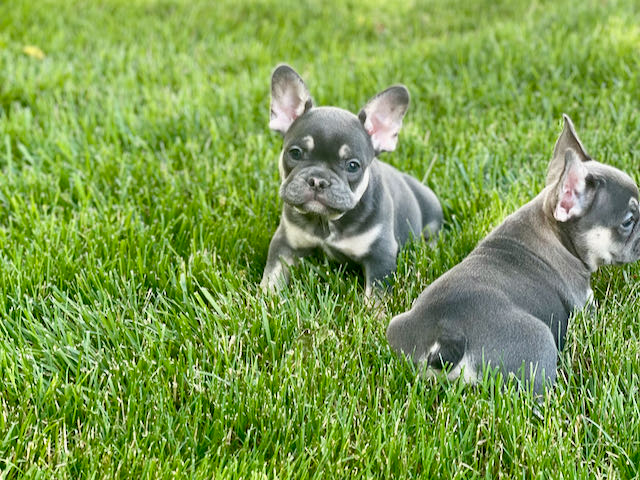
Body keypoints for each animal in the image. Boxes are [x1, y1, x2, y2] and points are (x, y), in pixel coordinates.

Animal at [258, 64, 440, 296]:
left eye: (353, 165)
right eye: (295, 153)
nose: (318, 180)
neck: (326, 222)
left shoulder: (380, 255)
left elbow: (377, 294)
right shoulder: (285, 242)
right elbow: (273, 274)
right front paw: (265, 297)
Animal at [384, 115, 640, 394]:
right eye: (628, 221)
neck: (554, 229)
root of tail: (448, 336)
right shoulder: (584, 303)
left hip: (397, 327)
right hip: (538, 341)